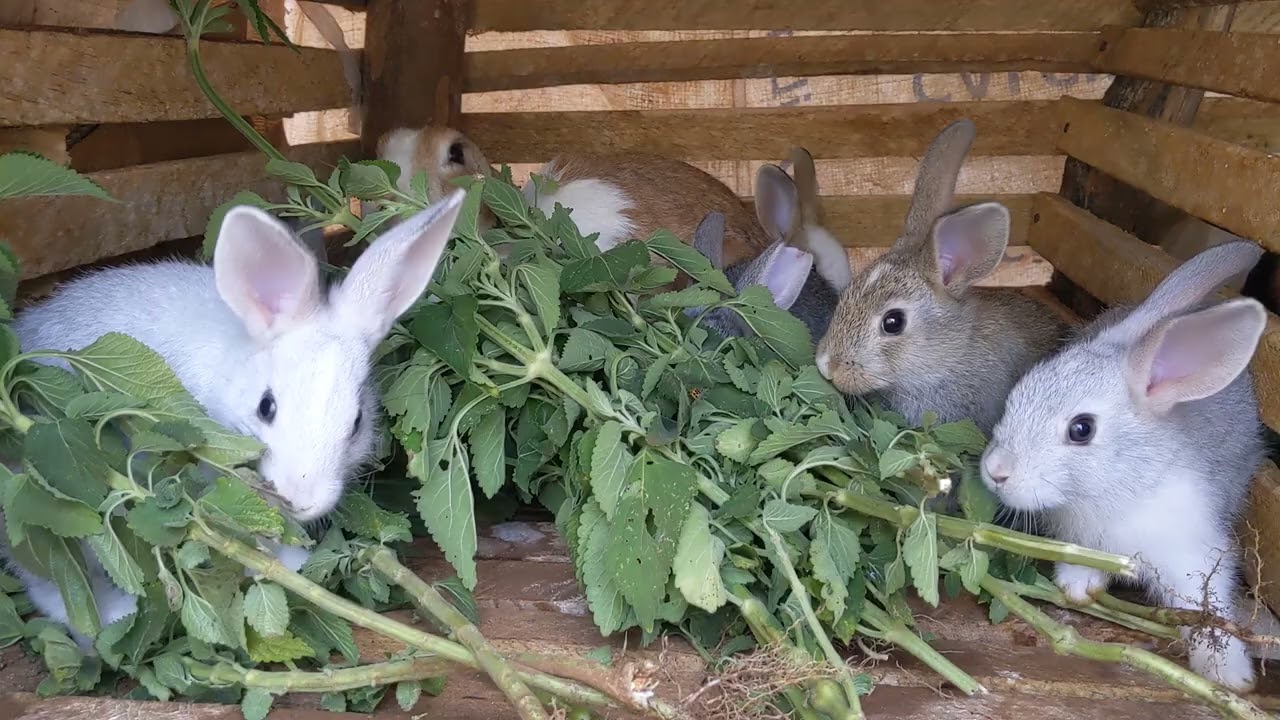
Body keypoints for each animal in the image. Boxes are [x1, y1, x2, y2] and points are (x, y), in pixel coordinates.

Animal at [980, 239, 1268, 692]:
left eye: (1081, 429)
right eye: (1019, 392)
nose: (996, 470)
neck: (1116, 487)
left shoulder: (1192, 555)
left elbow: (1211, 609)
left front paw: (1229, 676)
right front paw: (1077, 588)